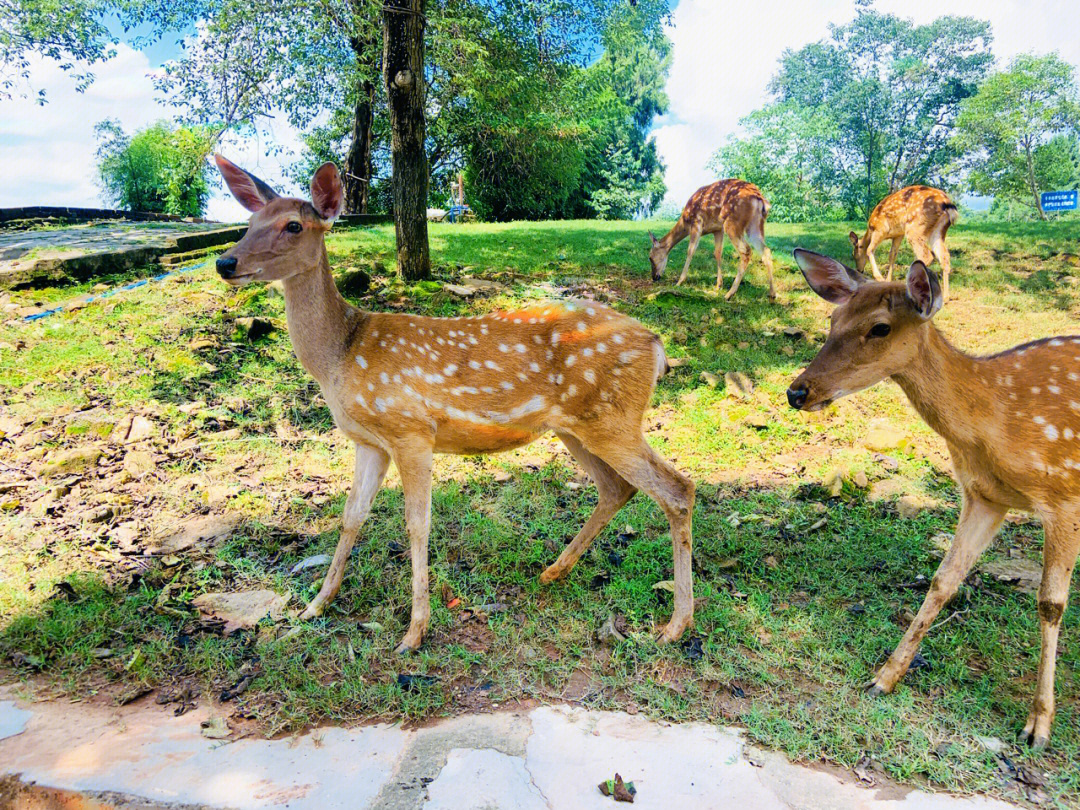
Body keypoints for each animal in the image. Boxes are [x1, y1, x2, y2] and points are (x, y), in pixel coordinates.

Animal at [212, 156, 699, 652]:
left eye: (293, 225)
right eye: (250, 222)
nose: (225, 261)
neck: (341, 356)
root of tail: (657, 346)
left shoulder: (411, 430)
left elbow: (417, 524)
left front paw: (413, 632)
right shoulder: (370, 441)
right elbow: (351, 517)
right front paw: (314, 606)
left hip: (613, 418)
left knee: (678, 489)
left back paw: (675, 625)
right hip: (576, 426)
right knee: (617, 488)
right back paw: (553, 572)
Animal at [786, 249, 1080, 756]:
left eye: (880, 328)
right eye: (832, 319)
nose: (797, 391)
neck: (995, 421)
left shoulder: (1064, 496)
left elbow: (1050, 604)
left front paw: (1038, 725)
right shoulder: (984, 496)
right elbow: (943, 580)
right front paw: (884, 678)